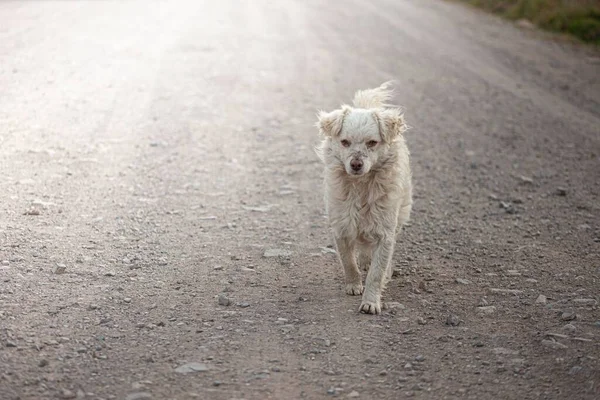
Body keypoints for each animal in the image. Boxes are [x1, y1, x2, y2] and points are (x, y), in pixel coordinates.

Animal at [314, 83, 412, 314]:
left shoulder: (385, 232)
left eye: (372, 143)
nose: (356, 164)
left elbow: (376, 273)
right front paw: (353, 285)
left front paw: (371, 302)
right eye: (344, 142)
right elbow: (348, 261)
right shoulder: (341, 226)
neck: (361, 186)